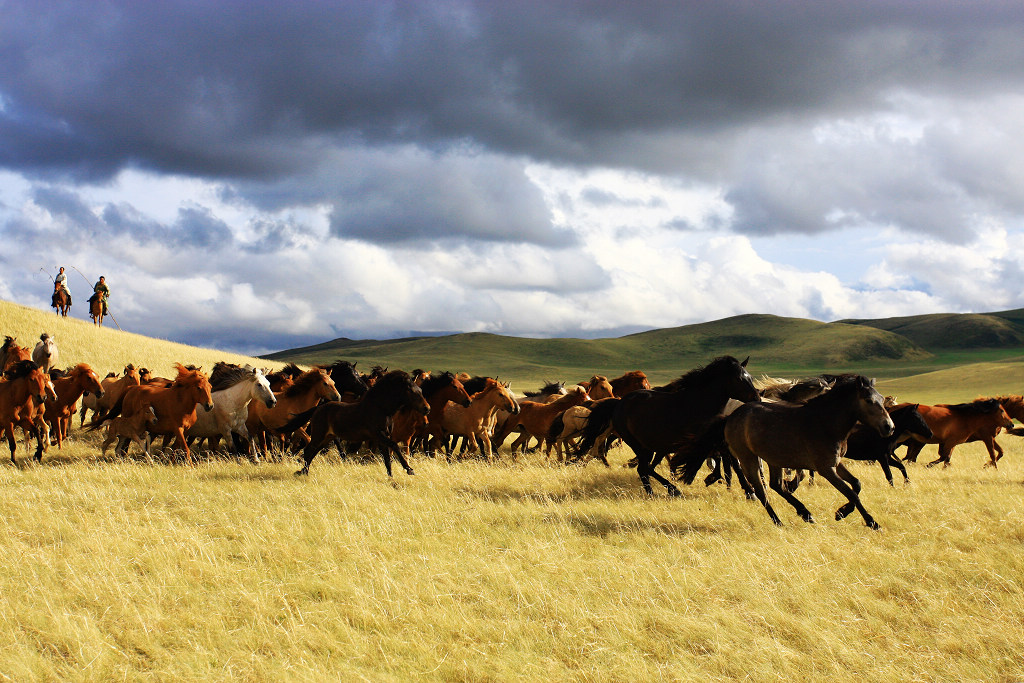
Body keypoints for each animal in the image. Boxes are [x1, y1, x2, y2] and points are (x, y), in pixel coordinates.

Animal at [577, 358, 761, 497]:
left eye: (750, 377)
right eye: (739, 379)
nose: (757, 398)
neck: (700, 403)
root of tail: (618, 403)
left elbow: (729, 460)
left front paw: (745, 489)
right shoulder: (699, 442)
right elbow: (720, 459)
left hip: (648, 446)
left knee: (645, 468)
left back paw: (656, 491)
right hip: (639, 445)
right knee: (643, 468)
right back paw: (670, 490)